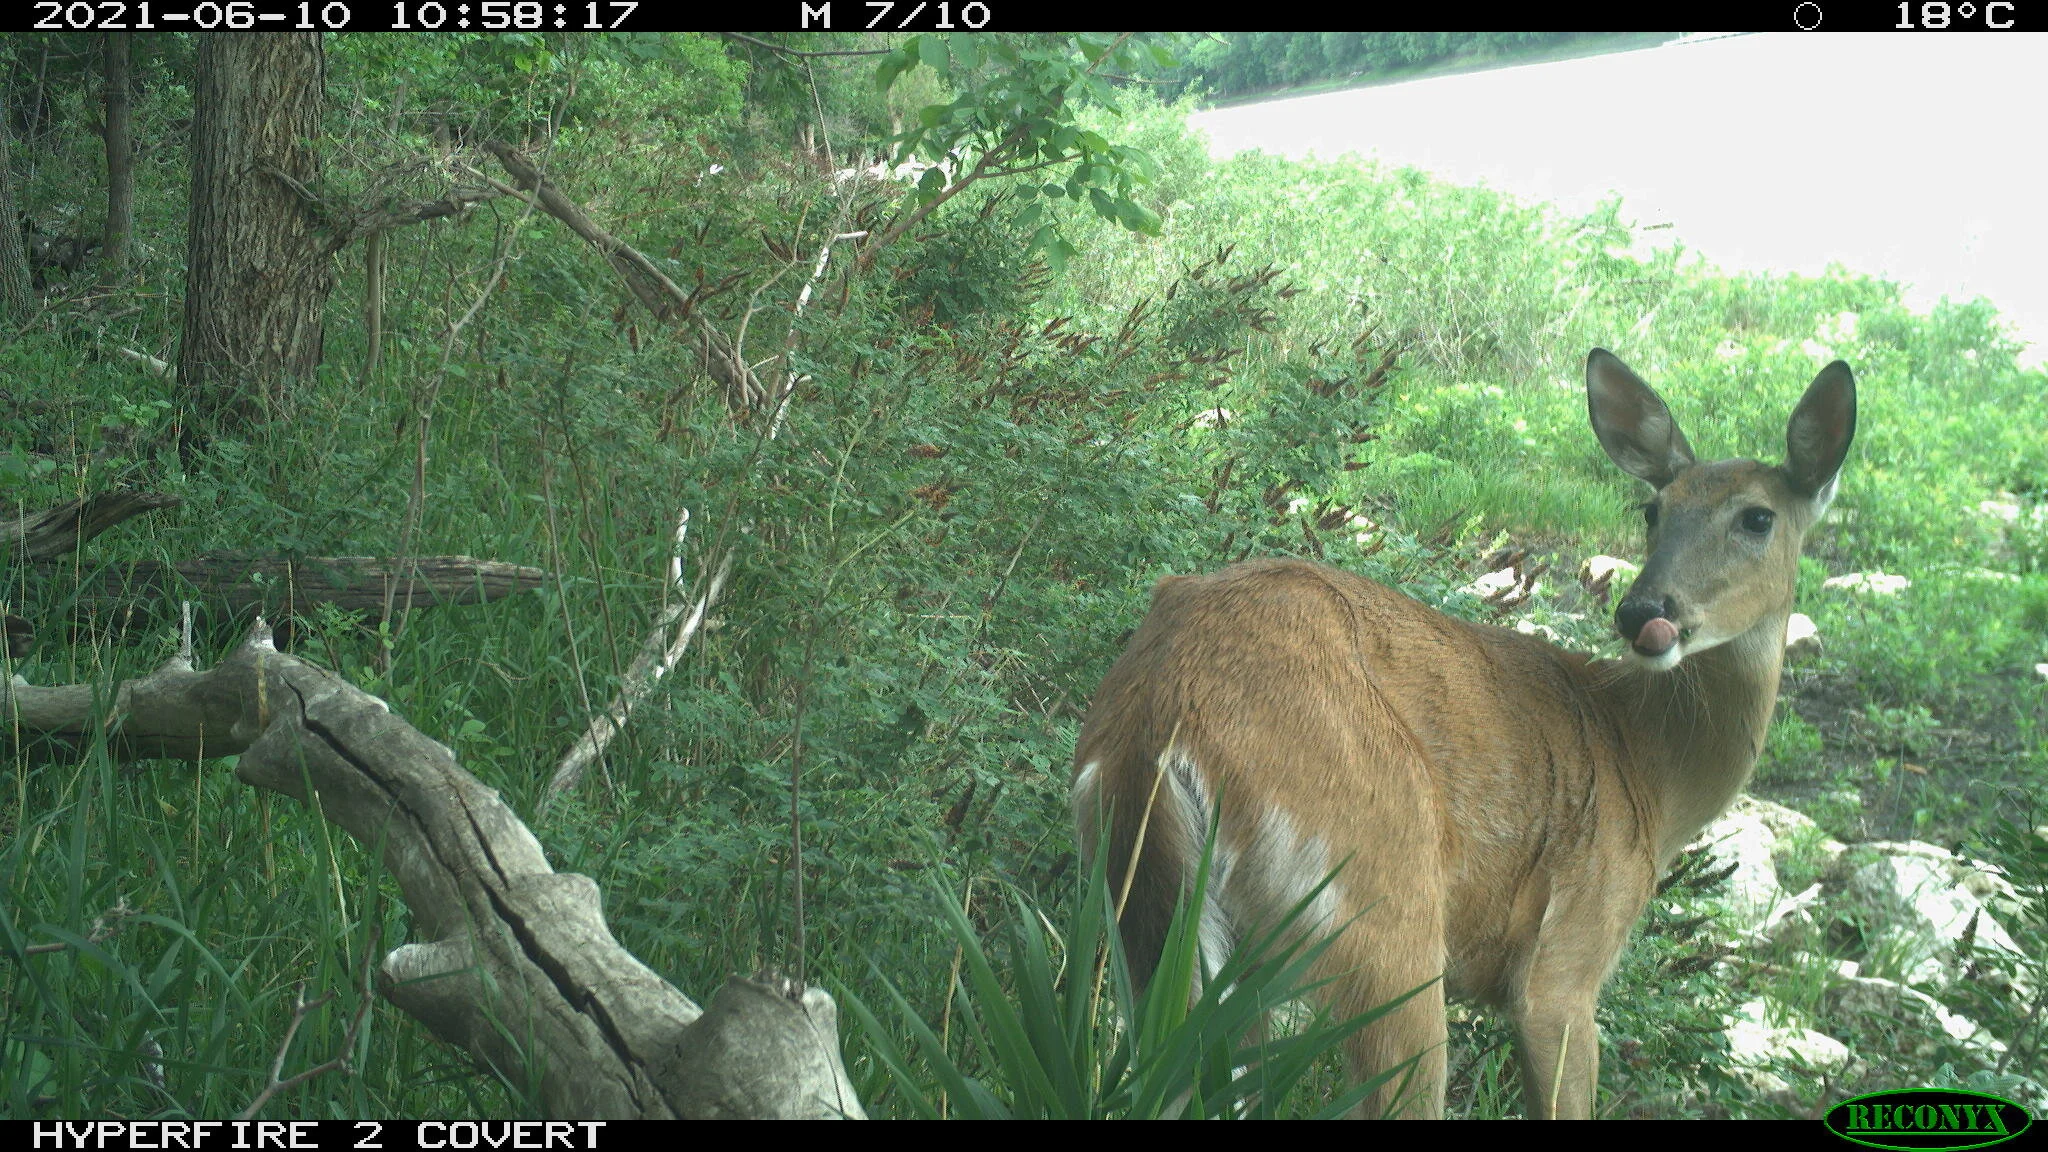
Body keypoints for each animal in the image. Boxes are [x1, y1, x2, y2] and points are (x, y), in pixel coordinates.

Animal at [1071, 349, 1855, 1119]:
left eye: (1758, 518)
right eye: (1654, 508)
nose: (1642, 611)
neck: (1648, 771)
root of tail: (1160, 722)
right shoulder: (1563, 967)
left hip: (1179, 949)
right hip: (1382, 913)